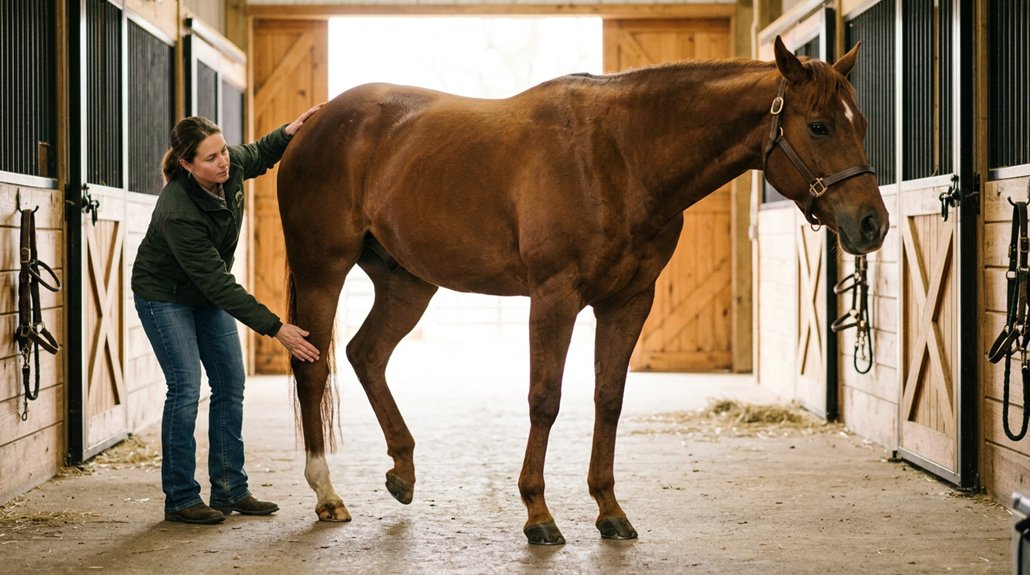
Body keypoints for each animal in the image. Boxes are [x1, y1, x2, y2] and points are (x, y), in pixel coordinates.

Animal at [275, 36, 888, 545]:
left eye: (860, 123)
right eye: (819, 126)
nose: (871, 225)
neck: (619, 155)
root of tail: (313, 124)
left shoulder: (629, 302)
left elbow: (608, 399)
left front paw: (610, 511)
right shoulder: (555, 297)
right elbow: (544, 399)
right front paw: (538, 516)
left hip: (407, 284)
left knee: (366, 354)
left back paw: (402, 472)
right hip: (323, 270)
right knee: (314, 365)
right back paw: (327, 494)